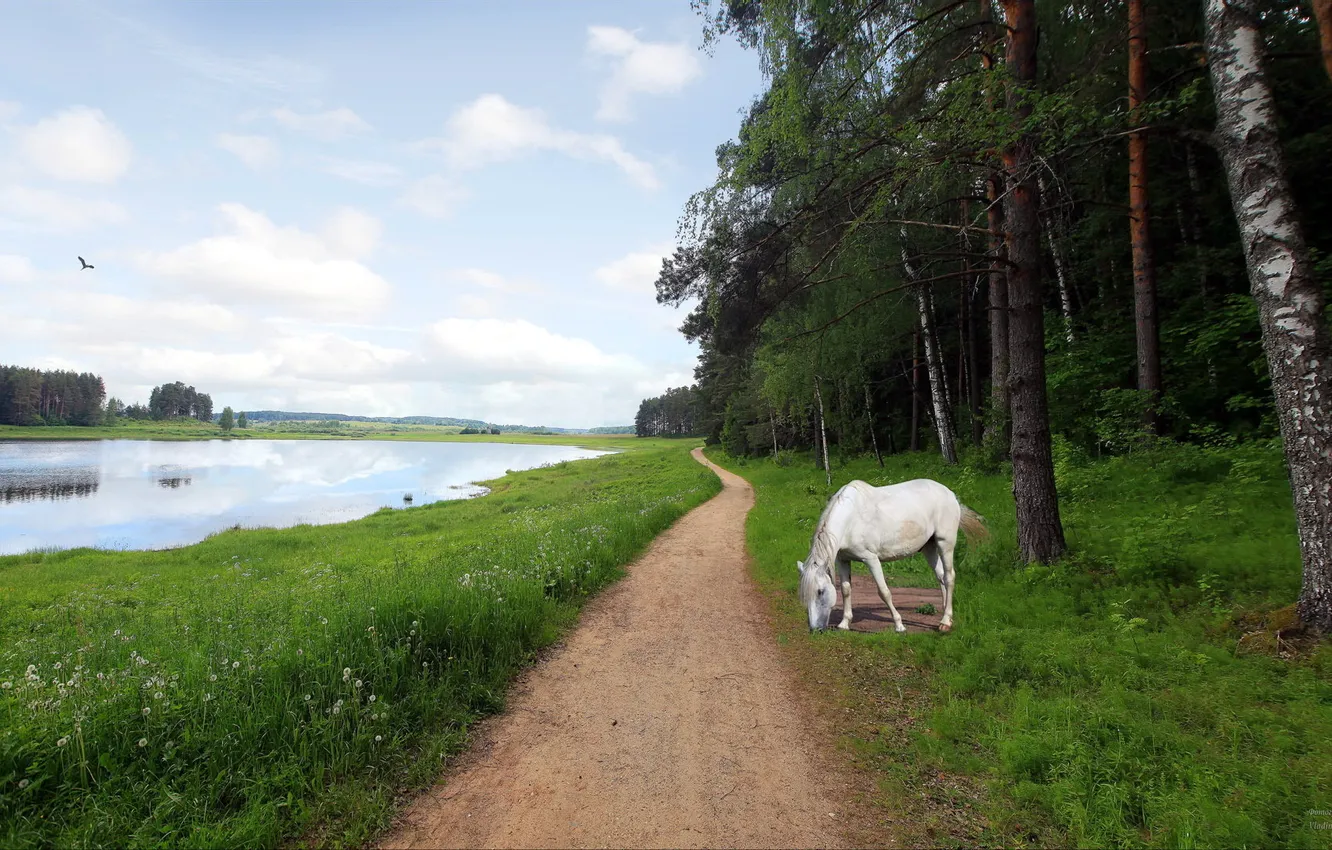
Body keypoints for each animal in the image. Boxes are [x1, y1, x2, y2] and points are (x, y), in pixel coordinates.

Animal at [788, 479, 991, 634]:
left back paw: (946, 623)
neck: (851, 519)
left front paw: (899, 625)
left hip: (945, 543)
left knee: (949, 577)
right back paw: (945, 614)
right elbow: (846, 589)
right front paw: (844, 624)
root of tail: (950, 494)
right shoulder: (843, 560)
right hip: (930, 547)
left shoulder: (871, 559)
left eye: (820, 591)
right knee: (941, 577)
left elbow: (884, 591)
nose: (815, 629)